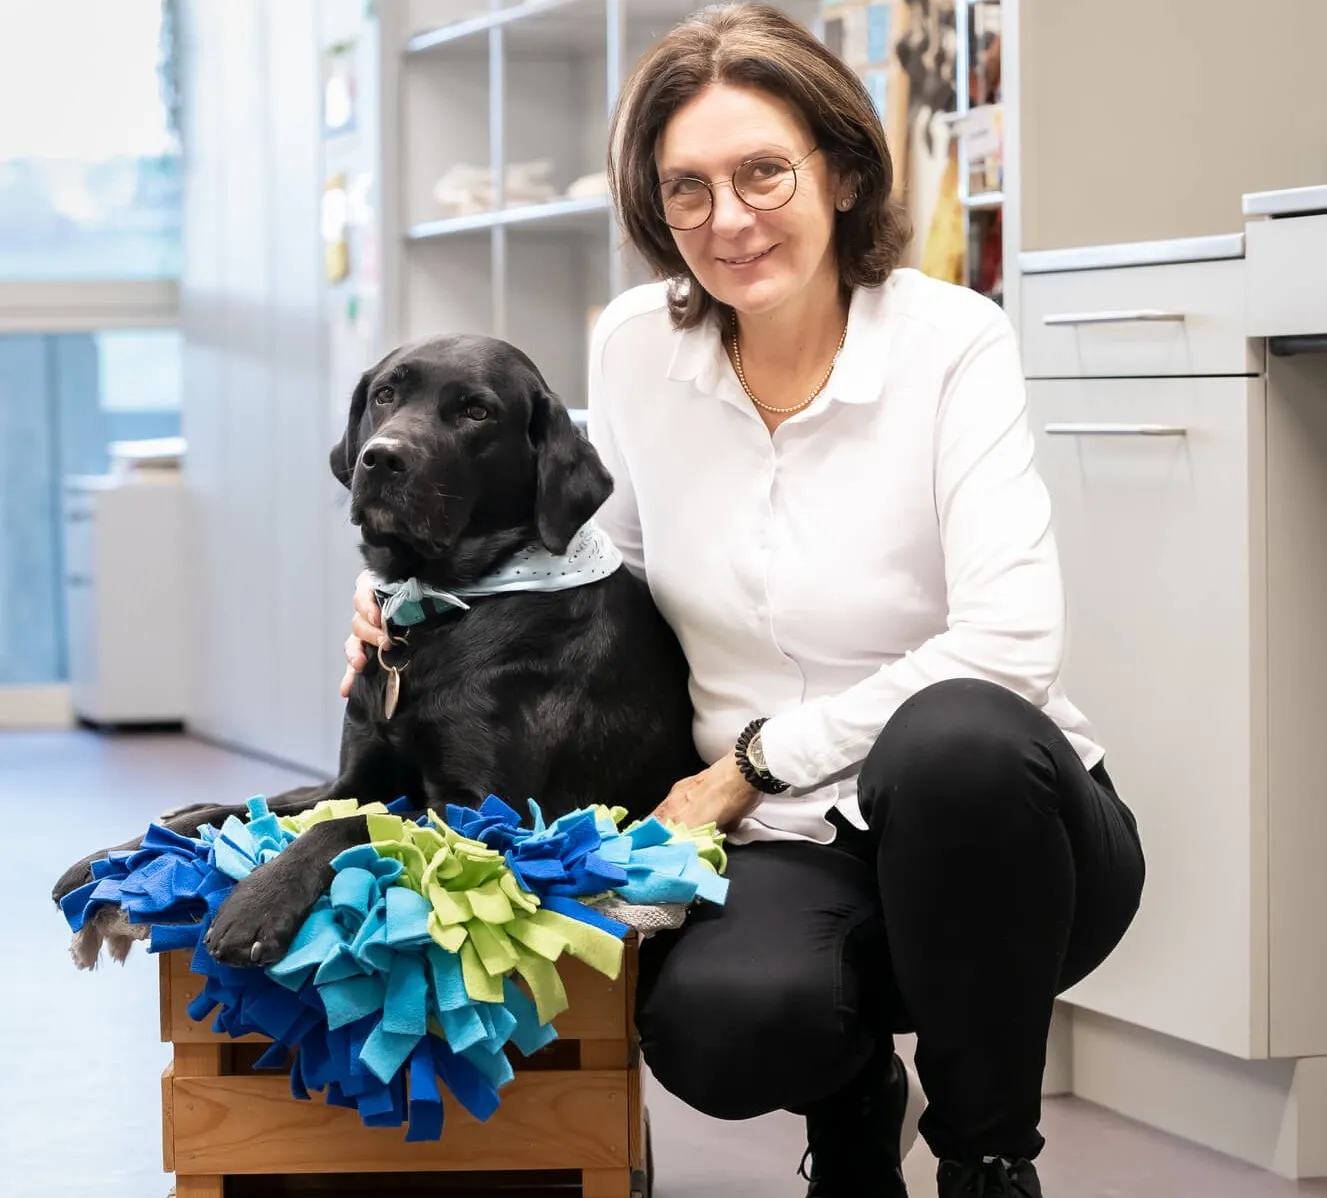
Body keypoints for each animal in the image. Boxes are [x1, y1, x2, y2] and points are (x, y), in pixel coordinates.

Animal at [57, 334, 705, 965]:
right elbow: (259, 808)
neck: (436, 615)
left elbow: (352, 827)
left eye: (477, 412)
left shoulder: (494, 812)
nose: (382, 457)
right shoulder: (354, 777)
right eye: (386, 395)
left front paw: (259, 901)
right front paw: (112, 856)